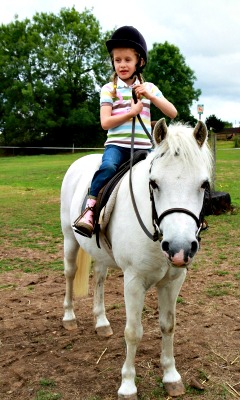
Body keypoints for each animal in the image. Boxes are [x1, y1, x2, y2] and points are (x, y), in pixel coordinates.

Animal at [61, 117, 213, 398]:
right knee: (69, 274)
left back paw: (101, 323)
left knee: (99, 279)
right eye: (154, 183)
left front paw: (171, 376)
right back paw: (69, 318)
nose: (179, 248)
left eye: (204, 184)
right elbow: (133, 332)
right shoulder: (133, 281)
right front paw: (128, 385)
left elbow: (168, 325)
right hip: (69, 238)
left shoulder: (174, 280)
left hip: (101, 255)